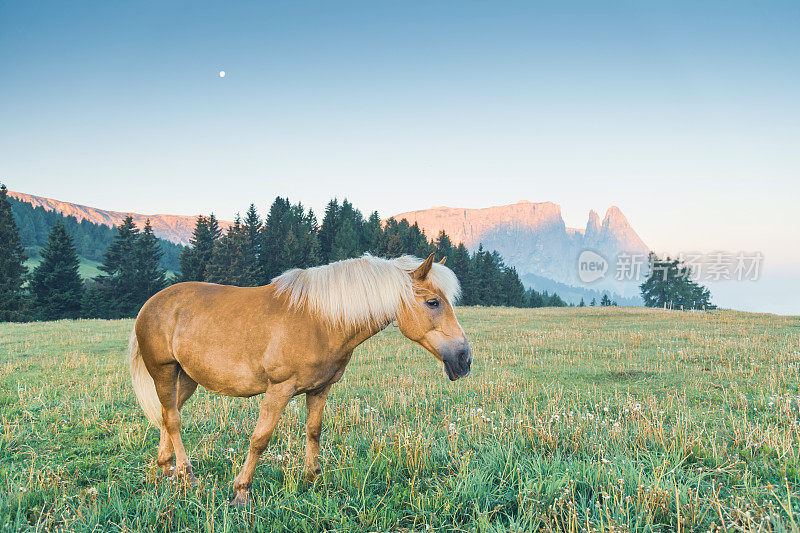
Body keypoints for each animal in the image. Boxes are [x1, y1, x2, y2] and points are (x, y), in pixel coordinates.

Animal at [128, 251, 472, 504]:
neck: (321, 320)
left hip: (185, 378)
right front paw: (241, 491)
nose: (464, 359)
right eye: (433, 302)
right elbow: (260, 440)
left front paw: (311, 478)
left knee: (167, 415)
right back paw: (187, 475)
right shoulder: (279, 390)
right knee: (173, 420)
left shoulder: (320, 389)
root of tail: (151, 303)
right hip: (164, 371)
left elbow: (314, 431)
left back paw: (167, 469)